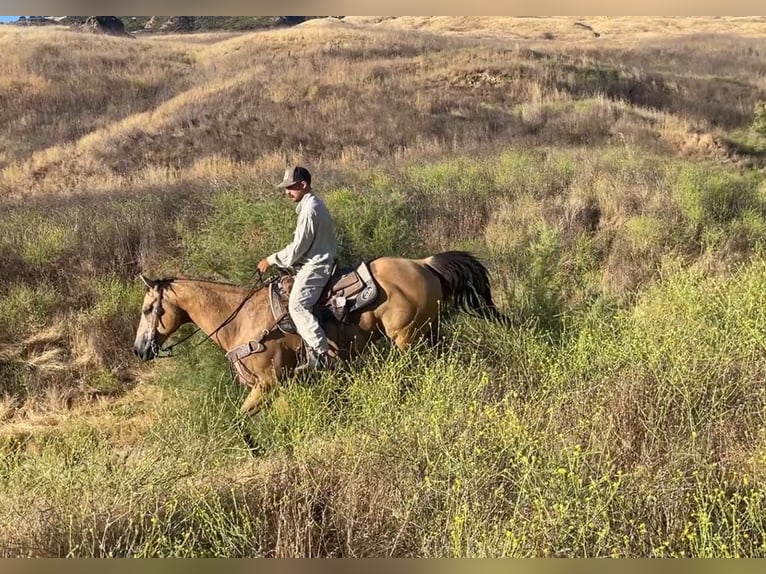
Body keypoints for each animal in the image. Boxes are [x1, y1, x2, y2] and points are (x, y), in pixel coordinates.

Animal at [133, 251, 505, 415]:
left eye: (148, 309)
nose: (139, 350)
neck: (241, 320)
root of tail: (423, 264)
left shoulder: (267, 382)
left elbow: (241, 419)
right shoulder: (280, 385)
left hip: (408, 339)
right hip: (429, 333)